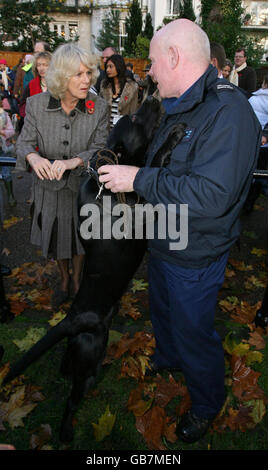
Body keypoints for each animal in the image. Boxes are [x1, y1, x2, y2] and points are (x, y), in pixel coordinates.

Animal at [2, 97, 186, 442]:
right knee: (72, 400)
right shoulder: (143, 207)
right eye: (136, 119)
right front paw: (172, 139)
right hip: (88, 357)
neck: (105, 182)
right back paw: (65, 433)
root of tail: (73, 318)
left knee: (69, 367)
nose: (152, 96)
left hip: (86, 353)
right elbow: (153, 165)